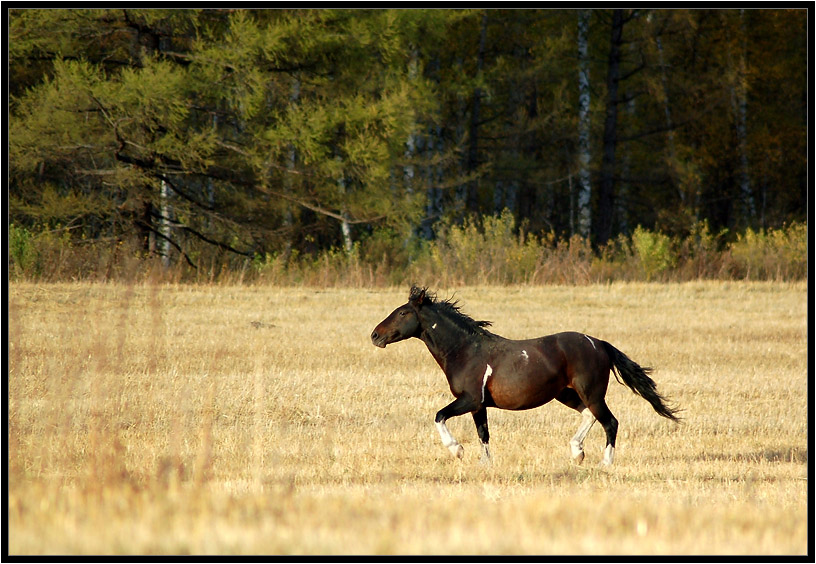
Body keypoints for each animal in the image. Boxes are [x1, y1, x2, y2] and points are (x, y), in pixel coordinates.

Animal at [372, 286, 684, 468]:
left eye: (403, 312)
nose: (375, 335)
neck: (465, 350)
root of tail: (599, 344)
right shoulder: (479, 405)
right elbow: (484, 434)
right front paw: (485, 465)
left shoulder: (470, 399)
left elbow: (439, 416)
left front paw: (457, 450)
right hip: (566, 393)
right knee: (590, 416)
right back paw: (577, 453)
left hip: (591, 391)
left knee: (610, 421)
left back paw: (604, 463)